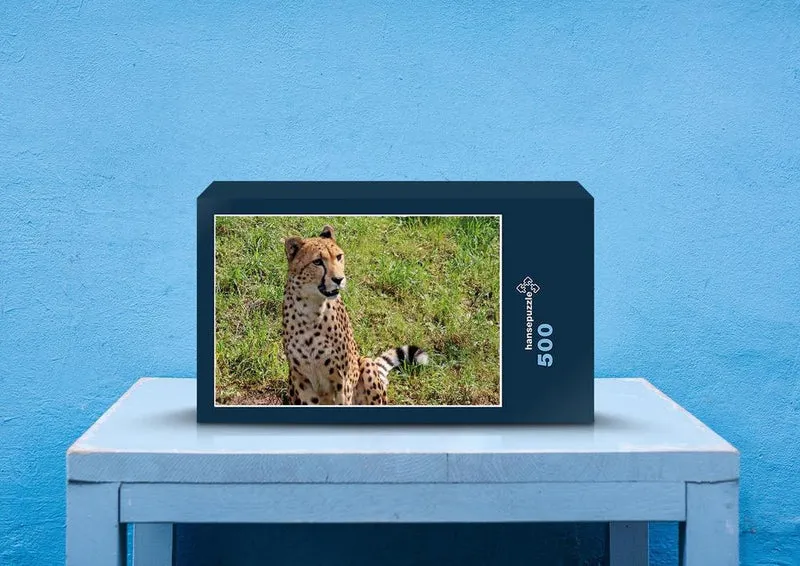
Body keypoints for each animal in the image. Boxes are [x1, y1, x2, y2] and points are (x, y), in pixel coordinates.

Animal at [281, 224, 428, 405]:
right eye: (317, 262)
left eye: (338, 257)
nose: (339, 279)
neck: (311, 310)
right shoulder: (302, 380)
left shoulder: (342, 381)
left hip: (366, 364)